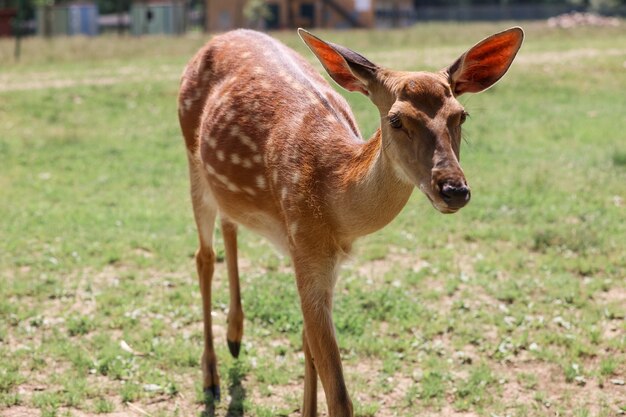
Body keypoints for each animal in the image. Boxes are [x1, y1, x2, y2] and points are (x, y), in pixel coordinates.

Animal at [177, 26, 520, 416]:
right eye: (396, 119)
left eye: (461, 115)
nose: (454, 189)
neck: (332, 196)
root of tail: (219, 37)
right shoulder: (305, 248)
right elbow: (339, 394)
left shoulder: (327, 260)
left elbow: (307, 342)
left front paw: (305, 409)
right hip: (191, 158)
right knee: (204, 257)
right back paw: (211, 378)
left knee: (229, 223)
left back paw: (235, 337)